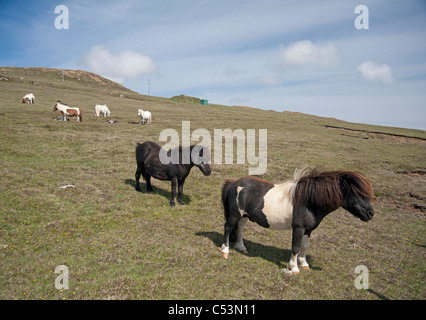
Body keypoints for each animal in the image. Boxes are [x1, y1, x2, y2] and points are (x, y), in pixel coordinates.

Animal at [221, 169, 374, 274]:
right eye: (357, 193)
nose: (370, 214)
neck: (309, 201)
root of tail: (234, 183)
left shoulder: (308, 230)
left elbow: (304, 246)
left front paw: (304, 264)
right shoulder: (298, 228)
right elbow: (295, 247)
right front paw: (293, 268)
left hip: (244, 216)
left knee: (239, 229)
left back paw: (241, 247)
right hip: (235, 214)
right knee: (228, 228)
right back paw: (225, 251)